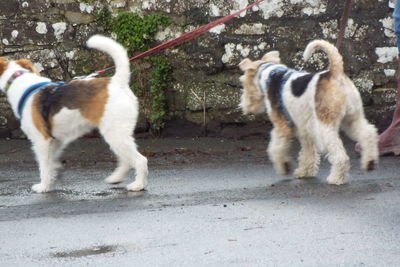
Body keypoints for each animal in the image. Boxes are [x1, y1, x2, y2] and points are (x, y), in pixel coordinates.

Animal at [0, 36, 148, 195]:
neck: (17, 79)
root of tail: (117, 82)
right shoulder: (56, 141)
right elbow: (52, 163)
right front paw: (54, 177)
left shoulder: (41, 141)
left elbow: (44, 167)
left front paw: (44, 186)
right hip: (117, 135)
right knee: (126, 160)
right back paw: (116, 177)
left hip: (115, 135)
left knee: (140, 160)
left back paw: (138, 185)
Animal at [239, 40, 380, 186]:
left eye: (242, 81)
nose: (243, 106)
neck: (269, 76)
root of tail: (336, 73)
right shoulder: (305, 128)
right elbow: (308, 152)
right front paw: (305, 171)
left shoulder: (282, 127)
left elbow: (275, 148)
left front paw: (284, 166)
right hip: (352, 118)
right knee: (368, 133)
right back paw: (369, 162)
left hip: (325, 127)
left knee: (341, 155)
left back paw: (336, 178)